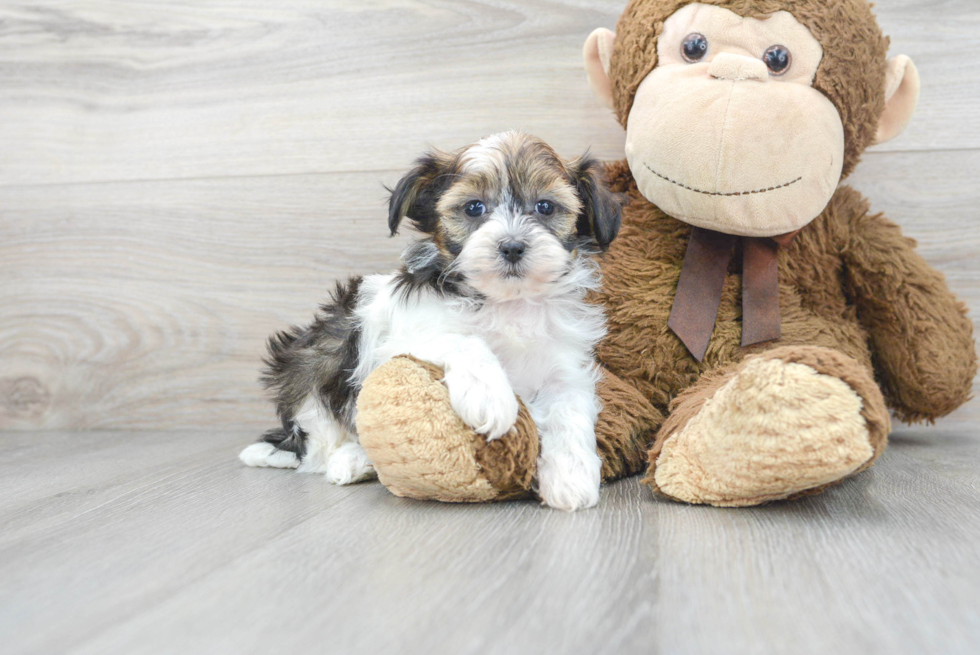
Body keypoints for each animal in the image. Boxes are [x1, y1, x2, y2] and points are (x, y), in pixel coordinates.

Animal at [238, 132, 620, 512]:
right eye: (473, 207)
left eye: (545, 207)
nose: (512, 246)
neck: (507, 302)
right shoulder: (402, 335)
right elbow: (464, 339)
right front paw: (490, 397)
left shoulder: (563, 367)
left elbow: (569, 409)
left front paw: (571, 476)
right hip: (317, 362)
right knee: (318, 444)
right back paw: (349, 460)